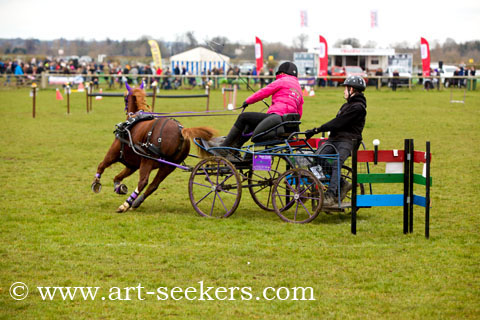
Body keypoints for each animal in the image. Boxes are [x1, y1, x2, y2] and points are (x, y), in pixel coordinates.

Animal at [92, 82, 216, 212]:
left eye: (125, 98)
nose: (126, 109)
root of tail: (182, 131)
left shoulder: (114, 154)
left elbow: (101, 166)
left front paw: (96, 183)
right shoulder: (132, 165)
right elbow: (117, 177)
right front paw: (119, 188)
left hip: (148, 160)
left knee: (143, 182)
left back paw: (126, 204)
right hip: (168, 166)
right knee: (153, 185)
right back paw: (136, 202)